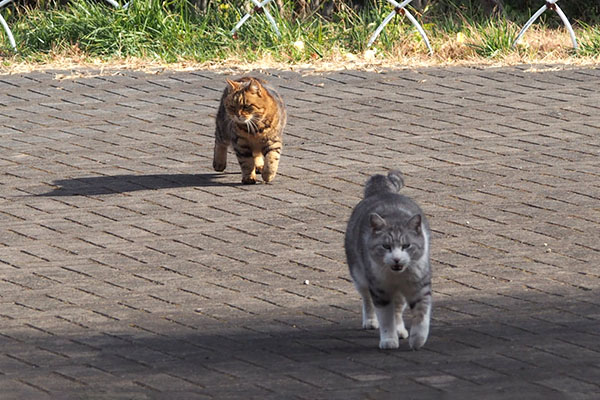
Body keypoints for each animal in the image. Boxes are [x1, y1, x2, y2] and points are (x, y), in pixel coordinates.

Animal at [344, 170, 434, 348]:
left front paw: (418, 339)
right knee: (367, 299)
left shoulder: (420, 285)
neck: (396, 275)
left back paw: (400, 329)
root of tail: (381, 191)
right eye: (386, 246)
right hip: (359, 275)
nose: (397, 259)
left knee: (398, 309)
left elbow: (421, 314)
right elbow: (386, 319)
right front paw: (388, 340)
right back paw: (371, 320)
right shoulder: (380, 290)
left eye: (406, 245)